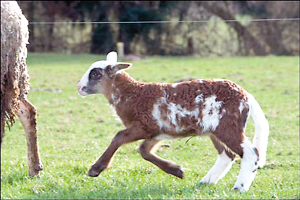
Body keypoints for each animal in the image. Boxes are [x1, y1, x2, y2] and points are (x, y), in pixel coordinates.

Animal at [77, 51, 270, 192]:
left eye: (95, 74)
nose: (79, 88)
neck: (131, 93)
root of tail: (246, 95)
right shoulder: (157, 132)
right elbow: (144, 151)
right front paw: (177, 171)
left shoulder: (144, 126)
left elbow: (118, 138)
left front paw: (95, 169)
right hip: (214, 129)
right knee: (227, 155)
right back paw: (205, 182)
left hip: (228, 126)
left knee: (251, 153)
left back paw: (239, 188)